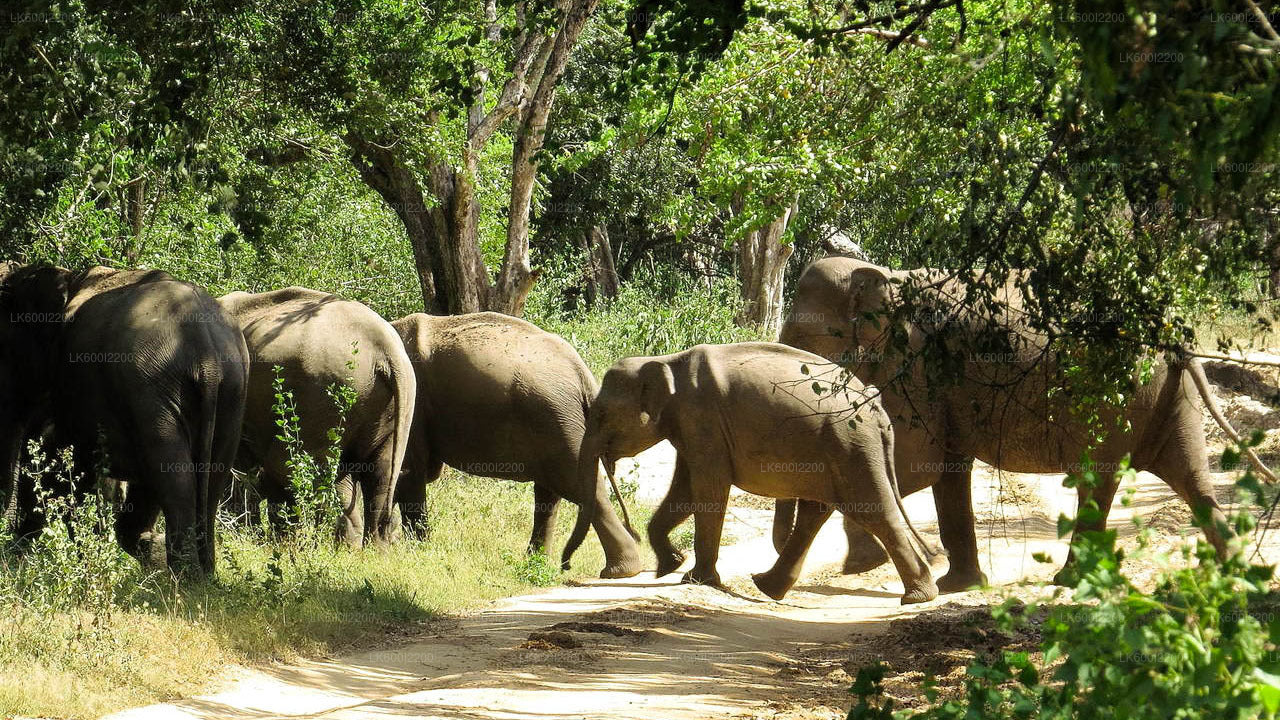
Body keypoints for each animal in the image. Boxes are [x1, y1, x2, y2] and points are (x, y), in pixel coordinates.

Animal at [0, 260, 248, 573]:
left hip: (152, 390)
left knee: (174, 480)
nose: (11, 546)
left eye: (6, 349)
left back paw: (184, 575)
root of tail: (207, 355)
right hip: (231, 394)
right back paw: (201, 572)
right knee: (211, 478)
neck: (69, 278)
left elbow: (68, 461)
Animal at [389, 310, 645, 576]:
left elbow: (408, 472)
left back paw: (621, 571)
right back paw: (537, 563)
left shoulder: (411, 406)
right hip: (557, 424)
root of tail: (582, 373)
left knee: (578, 486)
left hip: (555, 421)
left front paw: (416, 551)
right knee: (551, 493)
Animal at [560, 340, 942, 599]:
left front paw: (694, 579)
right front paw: (671, 566)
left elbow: (709, 487)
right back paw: (766, 586)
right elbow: (685, 489)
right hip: (836, 449)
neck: (666, 361)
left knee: (872, 509)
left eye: (601, 415)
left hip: (852, 447)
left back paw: (917, 597)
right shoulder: (690, 426)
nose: (565, 567)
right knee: (816, 512)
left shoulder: (702, 417)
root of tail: (877, 408)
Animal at [773, 256, 1254, 589]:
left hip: (1113, 394)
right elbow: (946, 471)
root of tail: (1172, 332)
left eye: (799, 342)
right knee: (1191, 475)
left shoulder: (915, 367)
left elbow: (915, 465)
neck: (883, 275)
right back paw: (1237, 573)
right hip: (1171, 396)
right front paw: (959, 586)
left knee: (1097, 479)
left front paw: (862, 565)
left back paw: (1070, 582)